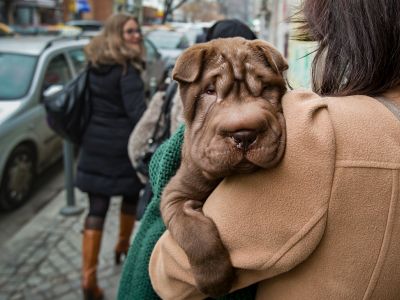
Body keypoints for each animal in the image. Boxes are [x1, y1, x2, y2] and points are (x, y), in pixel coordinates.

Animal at [159, 37, 288, 298]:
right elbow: (194, 233)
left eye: (264, 89)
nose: (244, 135)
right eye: (210, 91)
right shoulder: (175, 194)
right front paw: (215, 280)